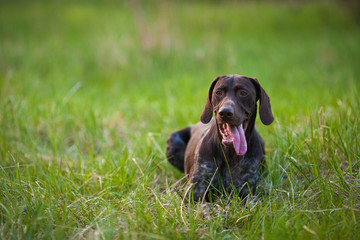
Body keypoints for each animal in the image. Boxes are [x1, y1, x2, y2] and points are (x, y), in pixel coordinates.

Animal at [166, 74, 272, 202]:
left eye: (243, 93)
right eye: (219, 92)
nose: (225, 112)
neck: (230, 155)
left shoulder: (247, 193)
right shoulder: (194, 193)